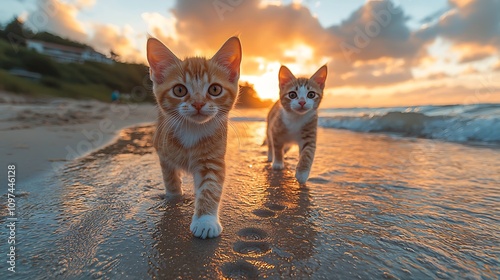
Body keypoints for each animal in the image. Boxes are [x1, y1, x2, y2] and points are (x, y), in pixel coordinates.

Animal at [146, 36, 241, 238]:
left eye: (215, 89)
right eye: (179, 90)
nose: (198, 103)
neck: (192, 129)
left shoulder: (213, 158)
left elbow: (210, 187)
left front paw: (205, 221)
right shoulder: (163, 153)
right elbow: (170, 178)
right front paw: (174, 197)